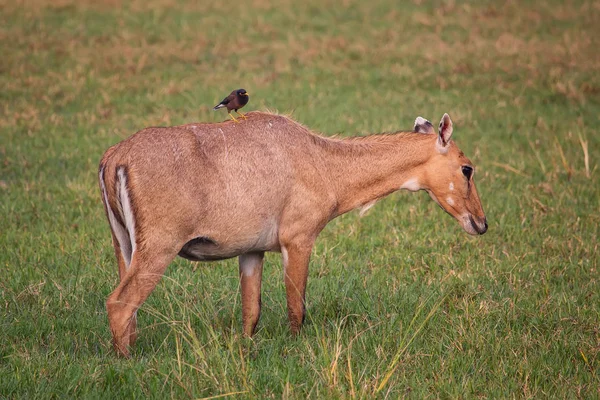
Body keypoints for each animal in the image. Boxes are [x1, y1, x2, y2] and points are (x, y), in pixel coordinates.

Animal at [98, 111, 488, 356]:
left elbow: (251, 311)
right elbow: (296, 308)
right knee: (120, 303)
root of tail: (114, 157)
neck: (326, 165)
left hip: (124, 244)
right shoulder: (298, 238)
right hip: (158, 247)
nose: (481, 223)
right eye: (466, 168)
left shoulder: (252, 250)